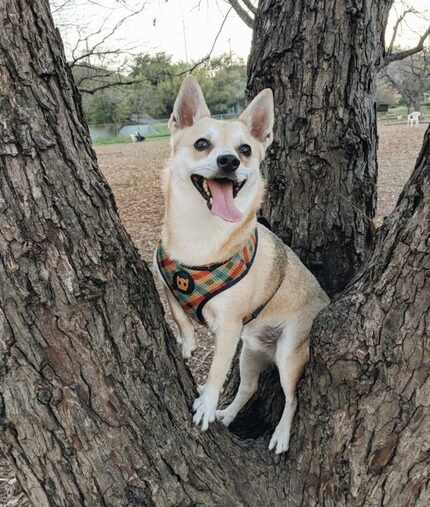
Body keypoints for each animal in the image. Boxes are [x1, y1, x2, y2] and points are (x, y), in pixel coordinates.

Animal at [155, 76, 330, 456]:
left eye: (246, 150)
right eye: (202, 144)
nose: (229, 161)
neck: (203, 234)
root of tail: (326, 300)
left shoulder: (229, 327)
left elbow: (216, 371)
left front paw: (206, 406)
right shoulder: (165, 276)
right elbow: (176, 308)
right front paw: (187, 343)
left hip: (288, 354)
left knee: (292, 398)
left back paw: (280, 436)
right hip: (250, 351)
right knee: (248, 388)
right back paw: (227, 414)